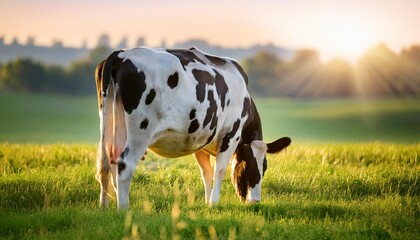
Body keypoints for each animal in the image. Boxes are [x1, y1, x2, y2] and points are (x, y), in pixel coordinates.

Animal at [94, 47, 292, 208]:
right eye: (247, 166)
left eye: (264, 167)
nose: (255, 201)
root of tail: (121, 54)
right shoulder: (230, 135)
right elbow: (219, 170)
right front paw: (214, 202)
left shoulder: (201, 142)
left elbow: (206, 173)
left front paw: (207, 202)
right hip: (140, 130)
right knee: (124, 164)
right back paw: (123, 208)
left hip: (110, 125)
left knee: (106, 164)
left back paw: (104, 207)